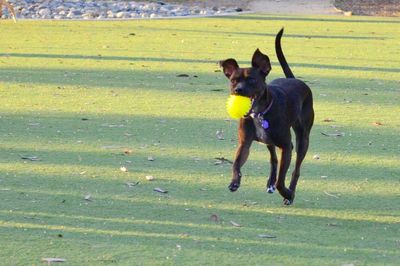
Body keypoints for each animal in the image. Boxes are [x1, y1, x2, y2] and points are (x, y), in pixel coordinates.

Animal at [220, 28, 314, 205]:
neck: (259, 113)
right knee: (273, 158)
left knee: (296, 168)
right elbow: (236, 165)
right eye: (234, 80)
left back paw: (290, 192)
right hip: (269, 140)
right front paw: (235, 182)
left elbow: (281, 181)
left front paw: (287, 193)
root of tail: (294, 79)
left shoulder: (285, 146)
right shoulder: (244, 144)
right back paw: (270, 182)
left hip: (302, 138)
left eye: (252, 80)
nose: (238, 90)